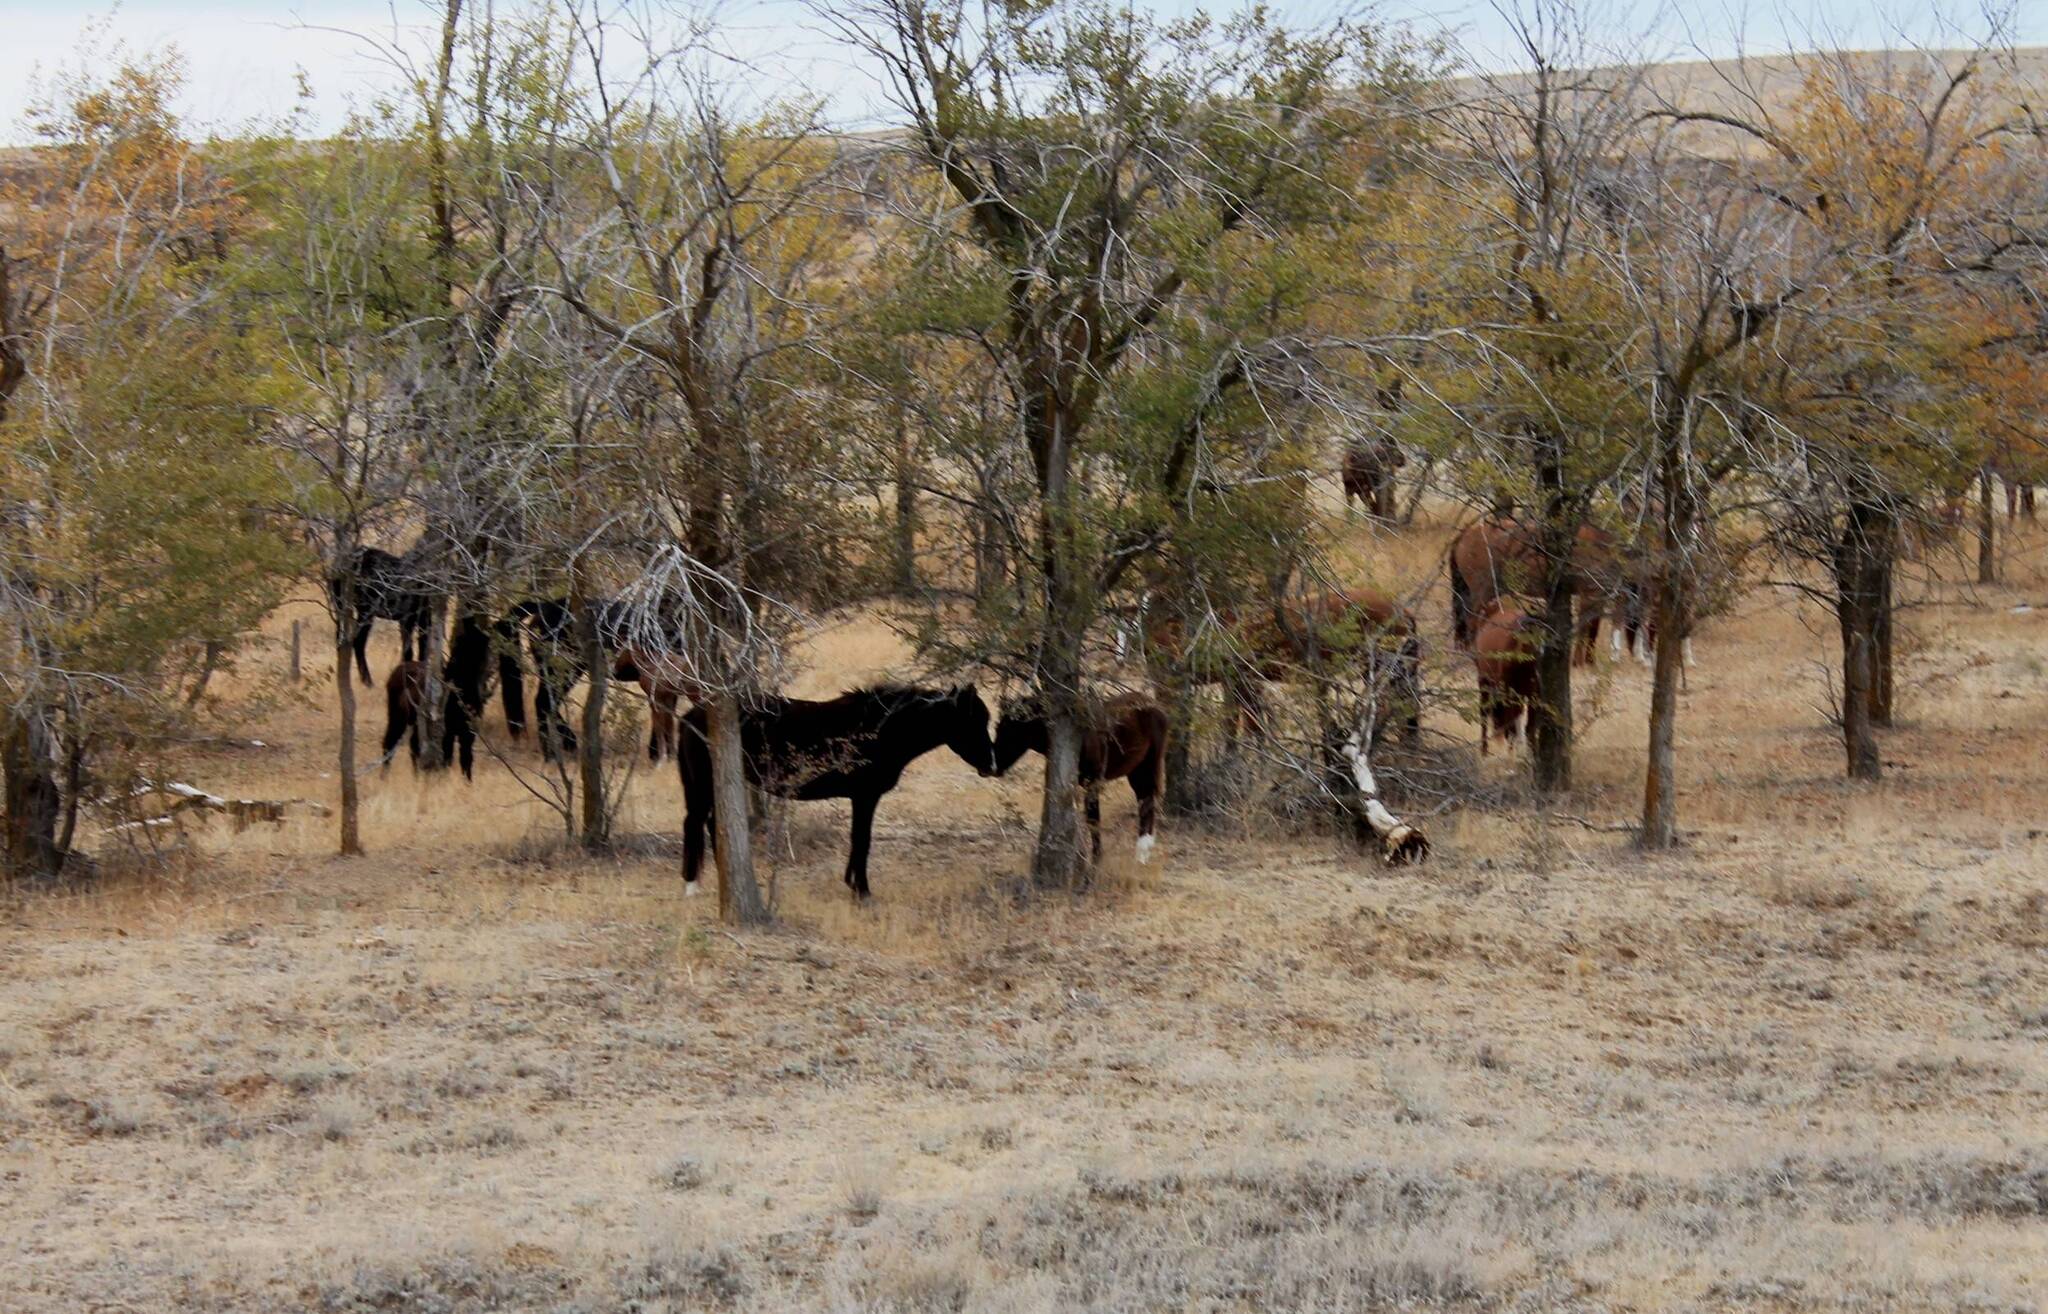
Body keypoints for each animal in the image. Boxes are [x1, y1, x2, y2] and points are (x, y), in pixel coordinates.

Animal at [325, 540, 434, 687]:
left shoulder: (425, 617)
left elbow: (423, 649)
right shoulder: (407, 618)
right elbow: (409, 651)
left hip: (342, 606)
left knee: (340, 638)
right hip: (365, 611)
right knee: (357, 641)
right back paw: (368, 682)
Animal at [675, 679, 995, 896]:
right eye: (973, 722)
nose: (991, 765)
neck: (881, 729)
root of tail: (691, 716)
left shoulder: (862, 798)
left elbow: (858, 841)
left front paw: (852, 884)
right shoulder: (865, 797)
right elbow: (862, 840)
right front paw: (862, 891)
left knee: (712, 825)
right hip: (703, 785)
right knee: (695, 824)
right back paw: (692, 887)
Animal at [991, 691, 1171, 863]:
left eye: (1011, 730)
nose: (994, 767)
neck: (1081, 738)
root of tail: (1156, 705)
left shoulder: (1092, 782)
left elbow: (1093, 819)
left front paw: (1095, 859)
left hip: (1150, 763)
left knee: (1147, 801)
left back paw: (1142, 854)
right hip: (1136, 769)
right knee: (1144, 799)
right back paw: (1142, 853)